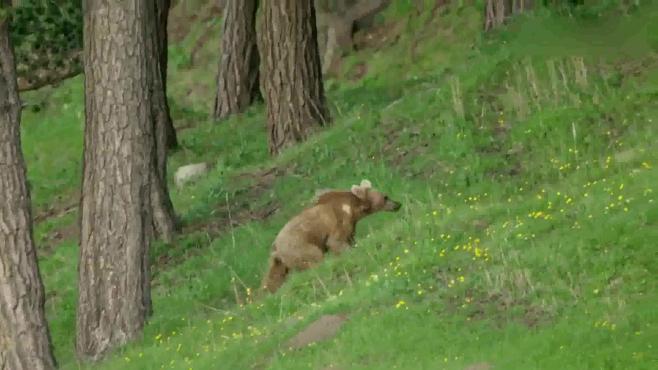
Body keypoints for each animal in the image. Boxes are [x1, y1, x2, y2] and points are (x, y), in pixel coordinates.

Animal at [262, 179, 400, 292]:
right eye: (386, 197)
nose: (398, 204)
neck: (353, 209)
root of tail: (276, 248)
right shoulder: (339, 222)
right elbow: (336, 242)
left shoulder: (350, 226)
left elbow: (349, 239)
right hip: (298, 246)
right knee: (314, 256)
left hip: (280, 261)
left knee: (275, 276)